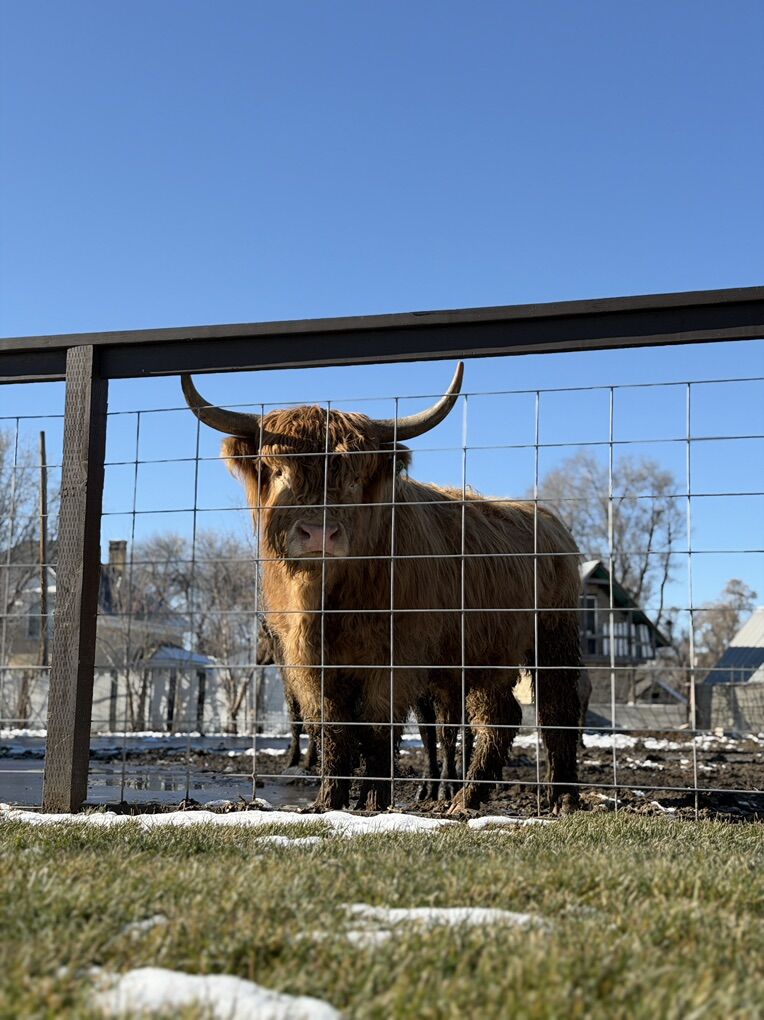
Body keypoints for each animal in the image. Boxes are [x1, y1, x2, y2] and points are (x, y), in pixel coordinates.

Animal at [182, 364, 583, 815]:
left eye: (355, 477)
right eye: (279, 470)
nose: (319, 532)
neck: (329, 602)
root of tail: (548, 519)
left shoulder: (395, 658)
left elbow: (376, 727)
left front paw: (374, 802)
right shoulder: (308, 664)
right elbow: (332, 729)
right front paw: (327, 801)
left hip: (553, 636)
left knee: (556, 709)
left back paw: (560, 798)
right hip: (485, 654)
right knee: (501, 716)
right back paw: (467, 797)